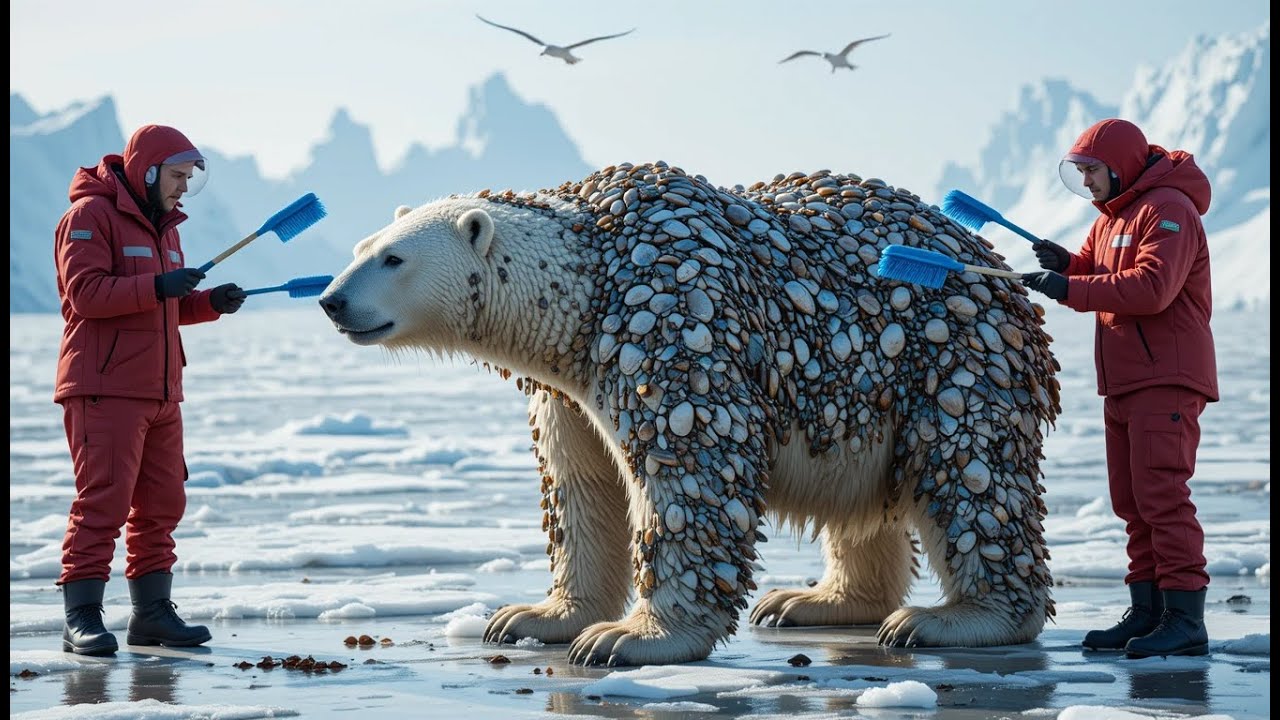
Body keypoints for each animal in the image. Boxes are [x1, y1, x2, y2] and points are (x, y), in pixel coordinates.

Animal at [319, 162, 1061, 666]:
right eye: (359, 247)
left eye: (393, 257)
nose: (330, 300)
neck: (593, 270)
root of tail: (997, 266)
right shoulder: (569, 385)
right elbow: (581, 488)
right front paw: (531, 616)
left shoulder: (668, 319)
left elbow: (691, 471)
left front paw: (630, 639)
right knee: (858, 499)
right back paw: (810, 601)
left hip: (953, 357)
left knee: (970, 473)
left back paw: (948, 619)